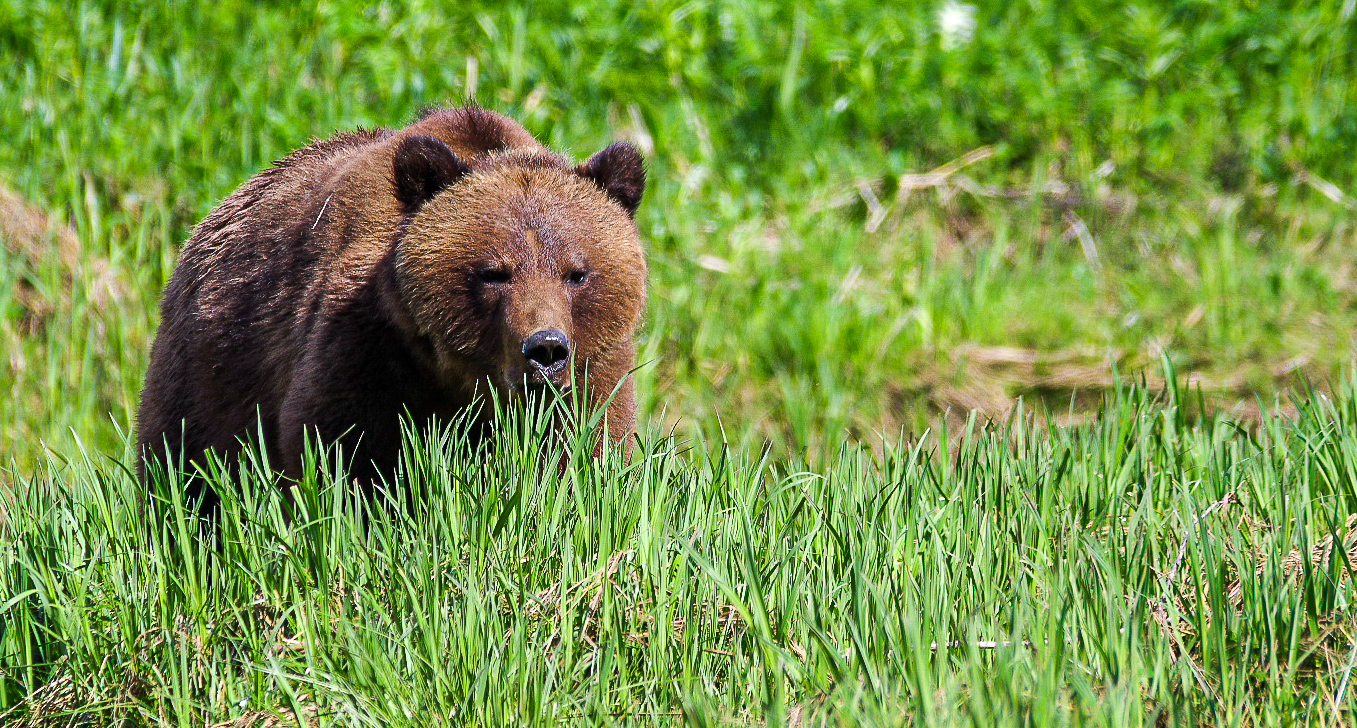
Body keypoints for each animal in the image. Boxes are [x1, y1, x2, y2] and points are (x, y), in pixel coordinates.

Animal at [137, 105, 645, 507]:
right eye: (493, 272)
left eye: (576, 272)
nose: (545, 349)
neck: (459, 377)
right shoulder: (366, 342)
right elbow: (343, 453)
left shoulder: (594, 370)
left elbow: (580, 455)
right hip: (211, 369)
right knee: (185, 472)